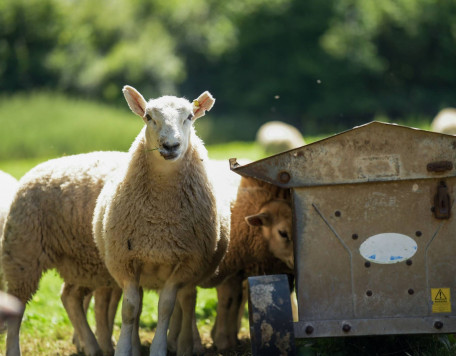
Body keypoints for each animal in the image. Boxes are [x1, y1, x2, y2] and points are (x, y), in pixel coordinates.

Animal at [93, 85, 228, 356]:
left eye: (189, 117)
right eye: (148, 117)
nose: (170, 145)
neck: (159, 222)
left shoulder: (185, 263)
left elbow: (166, 307)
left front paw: (159, 348)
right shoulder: (126, 260)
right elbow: (130, 309)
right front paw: (123, 348)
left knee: (185, 302)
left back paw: (184, 344)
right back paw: (136, 346)